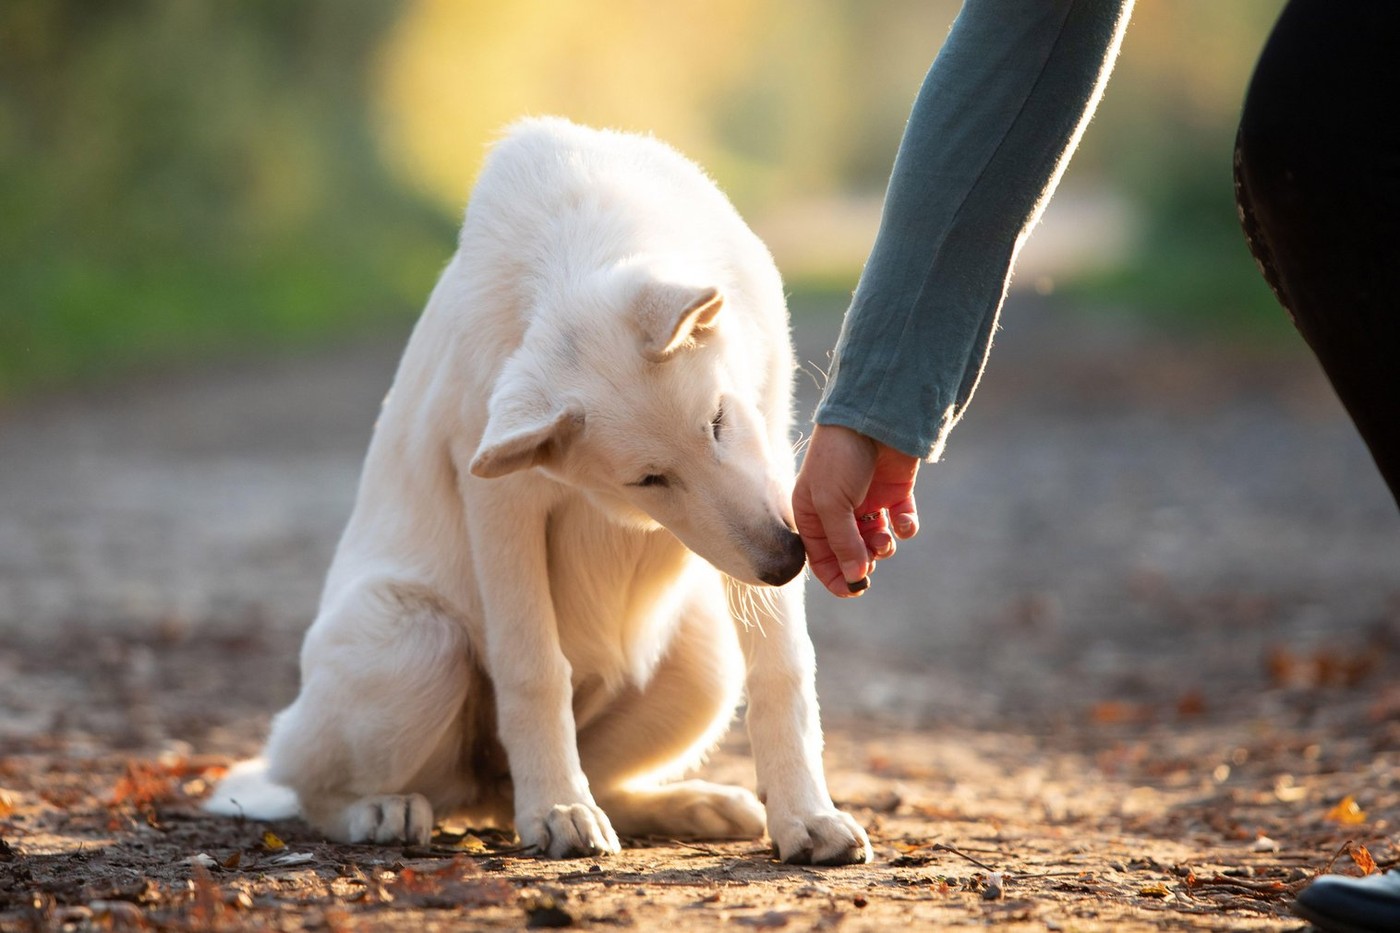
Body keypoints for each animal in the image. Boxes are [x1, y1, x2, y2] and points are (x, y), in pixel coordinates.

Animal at [207, 118, 868, 862]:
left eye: (719, 422)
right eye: (648, 480)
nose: (786, 563)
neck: (574, 242)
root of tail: (488, 791)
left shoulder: (772, 442)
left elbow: (784, 668)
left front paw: (806, 817)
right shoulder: (501, 502)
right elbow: (534, 668)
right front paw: (557, 807)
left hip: (705, 665)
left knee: (597, 780)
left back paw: (691, 804)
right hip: (417, 638)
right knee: (313, 787)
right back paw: (390, 810)